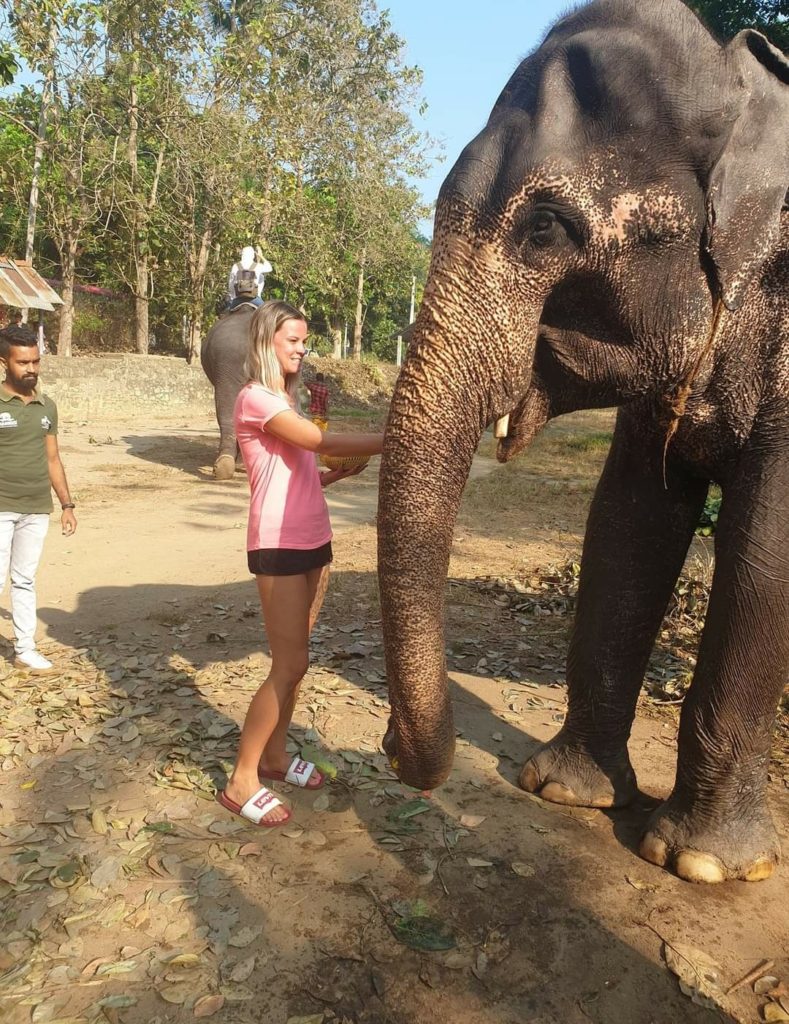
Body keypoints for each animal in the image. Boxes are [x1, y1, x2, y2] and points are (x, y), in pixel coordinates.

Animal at [378, 0, 789, 884]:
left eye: (543, 229)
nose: (392, 746)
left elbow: (766, 548)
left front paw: (700, 864)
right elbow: (627, 521)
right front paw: (568, 793)